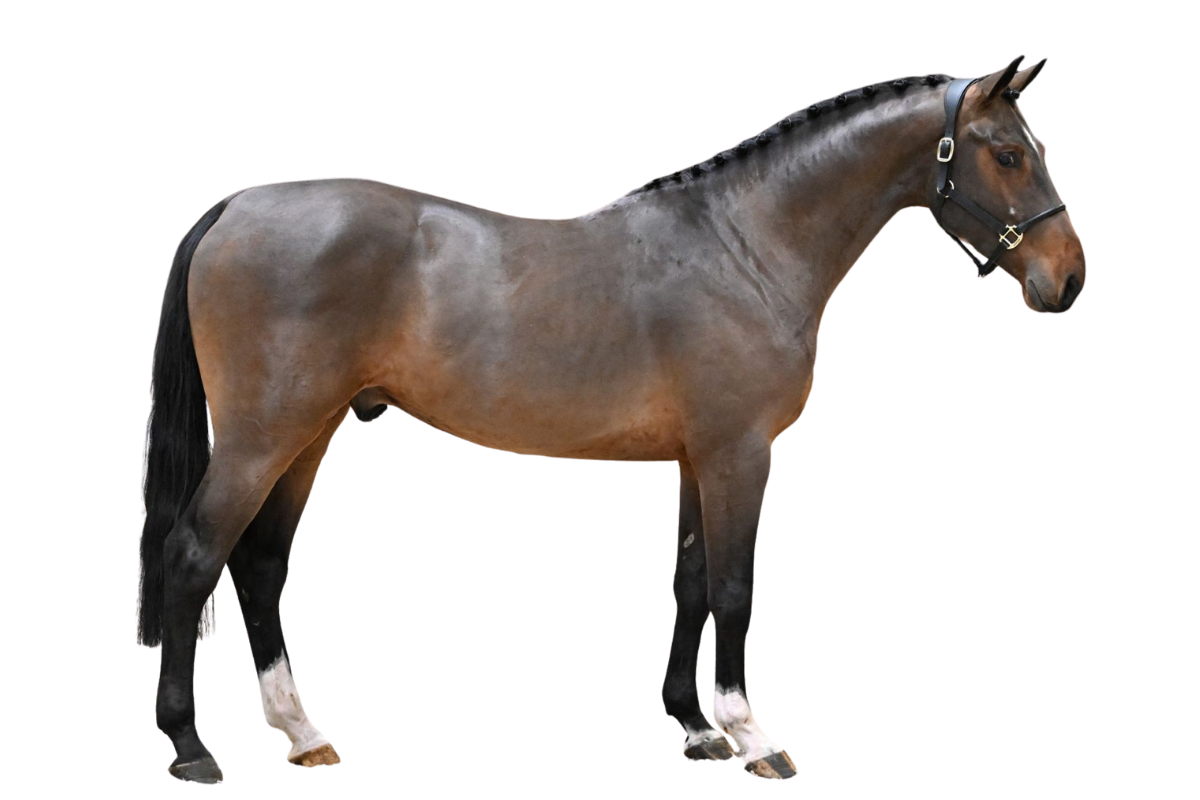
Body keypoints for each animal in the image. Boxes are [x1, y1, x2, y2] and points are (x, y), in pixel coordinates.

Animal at [138, 56, 1085, 784]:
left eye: (1036, 148)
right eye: (1007, 153)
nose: (1068, 280)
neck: (743, 246)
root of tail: (236, 207)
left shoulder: (697, 459)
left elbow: (690, 581)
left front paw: (697, 732)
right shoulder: (741, 455)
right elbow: (734, 589)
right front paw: (753, 739)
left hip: (308, 435)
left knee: (260, 567)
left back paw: (303, 734)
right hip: (260, 440)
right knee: (192, 556)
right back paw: (191, 747)